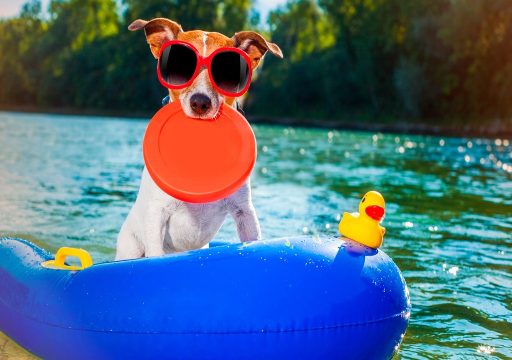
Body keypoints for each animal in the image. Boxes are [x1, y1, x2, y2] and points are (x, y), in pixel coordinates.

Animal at [115, 17, 284, 258]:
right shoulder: (157, 215)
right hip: (131, 245)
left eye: (228, 71)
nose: (200, 102)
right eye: (179, 65)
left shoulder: (244, 212)